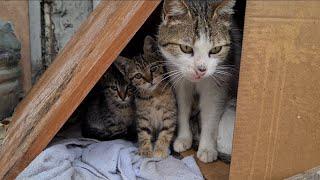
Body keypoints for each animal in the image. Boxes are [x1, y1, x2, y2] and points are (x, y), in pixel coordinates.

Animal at [158, 0, 240, 163]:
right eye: (185, 48)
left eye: (216, 49)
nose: (201, 69)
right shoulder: (178, 80)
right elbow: (182, 108)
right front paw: (183, 138)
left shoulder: (216, 85)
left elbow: (210, 115)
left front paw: (207, 148)